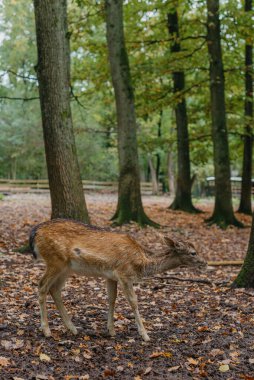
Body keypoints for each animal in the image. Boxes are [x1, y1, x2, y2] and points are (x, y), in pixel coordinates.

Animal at [29, 220, 207, 342]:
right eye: (193, 252)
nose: (205, 263)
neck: (141, 262)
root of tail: (35, 232)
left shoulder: (111, 276)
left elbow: (111, 299)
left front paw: (111, 330)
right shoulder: (124, 273)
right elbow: (133, 301)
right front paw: (145, 334)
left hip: (66, 268)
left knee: (55, 289)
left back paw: (72, 328)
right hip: (55, 260)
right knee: (42, 286)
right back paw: (46, 330)